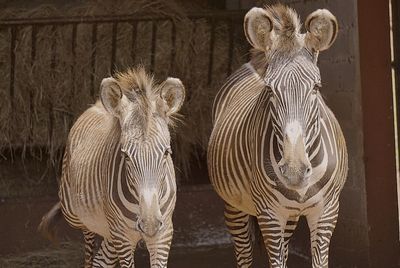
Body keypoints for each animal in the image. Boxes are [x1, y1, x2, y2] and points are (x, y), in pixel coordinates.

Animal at [39, 67, 186, 268]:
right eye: (126, 155)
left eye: (166, 152)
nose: (149, 224)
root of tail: (97, 104)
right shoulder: (122, 236)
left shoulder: (163, 234)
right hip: (77, 215)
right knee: (89, 249)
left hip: (112, 233)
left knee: (101, 261)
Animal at [208, 4, 348, 268]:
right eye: (270, 89)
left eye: (316, 87)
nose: (294, 171)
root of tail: (253, 61)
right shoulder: (269, 215)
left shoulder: (327, 212)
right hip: (234, 205)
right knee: (243, 252)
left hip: (289, 216)